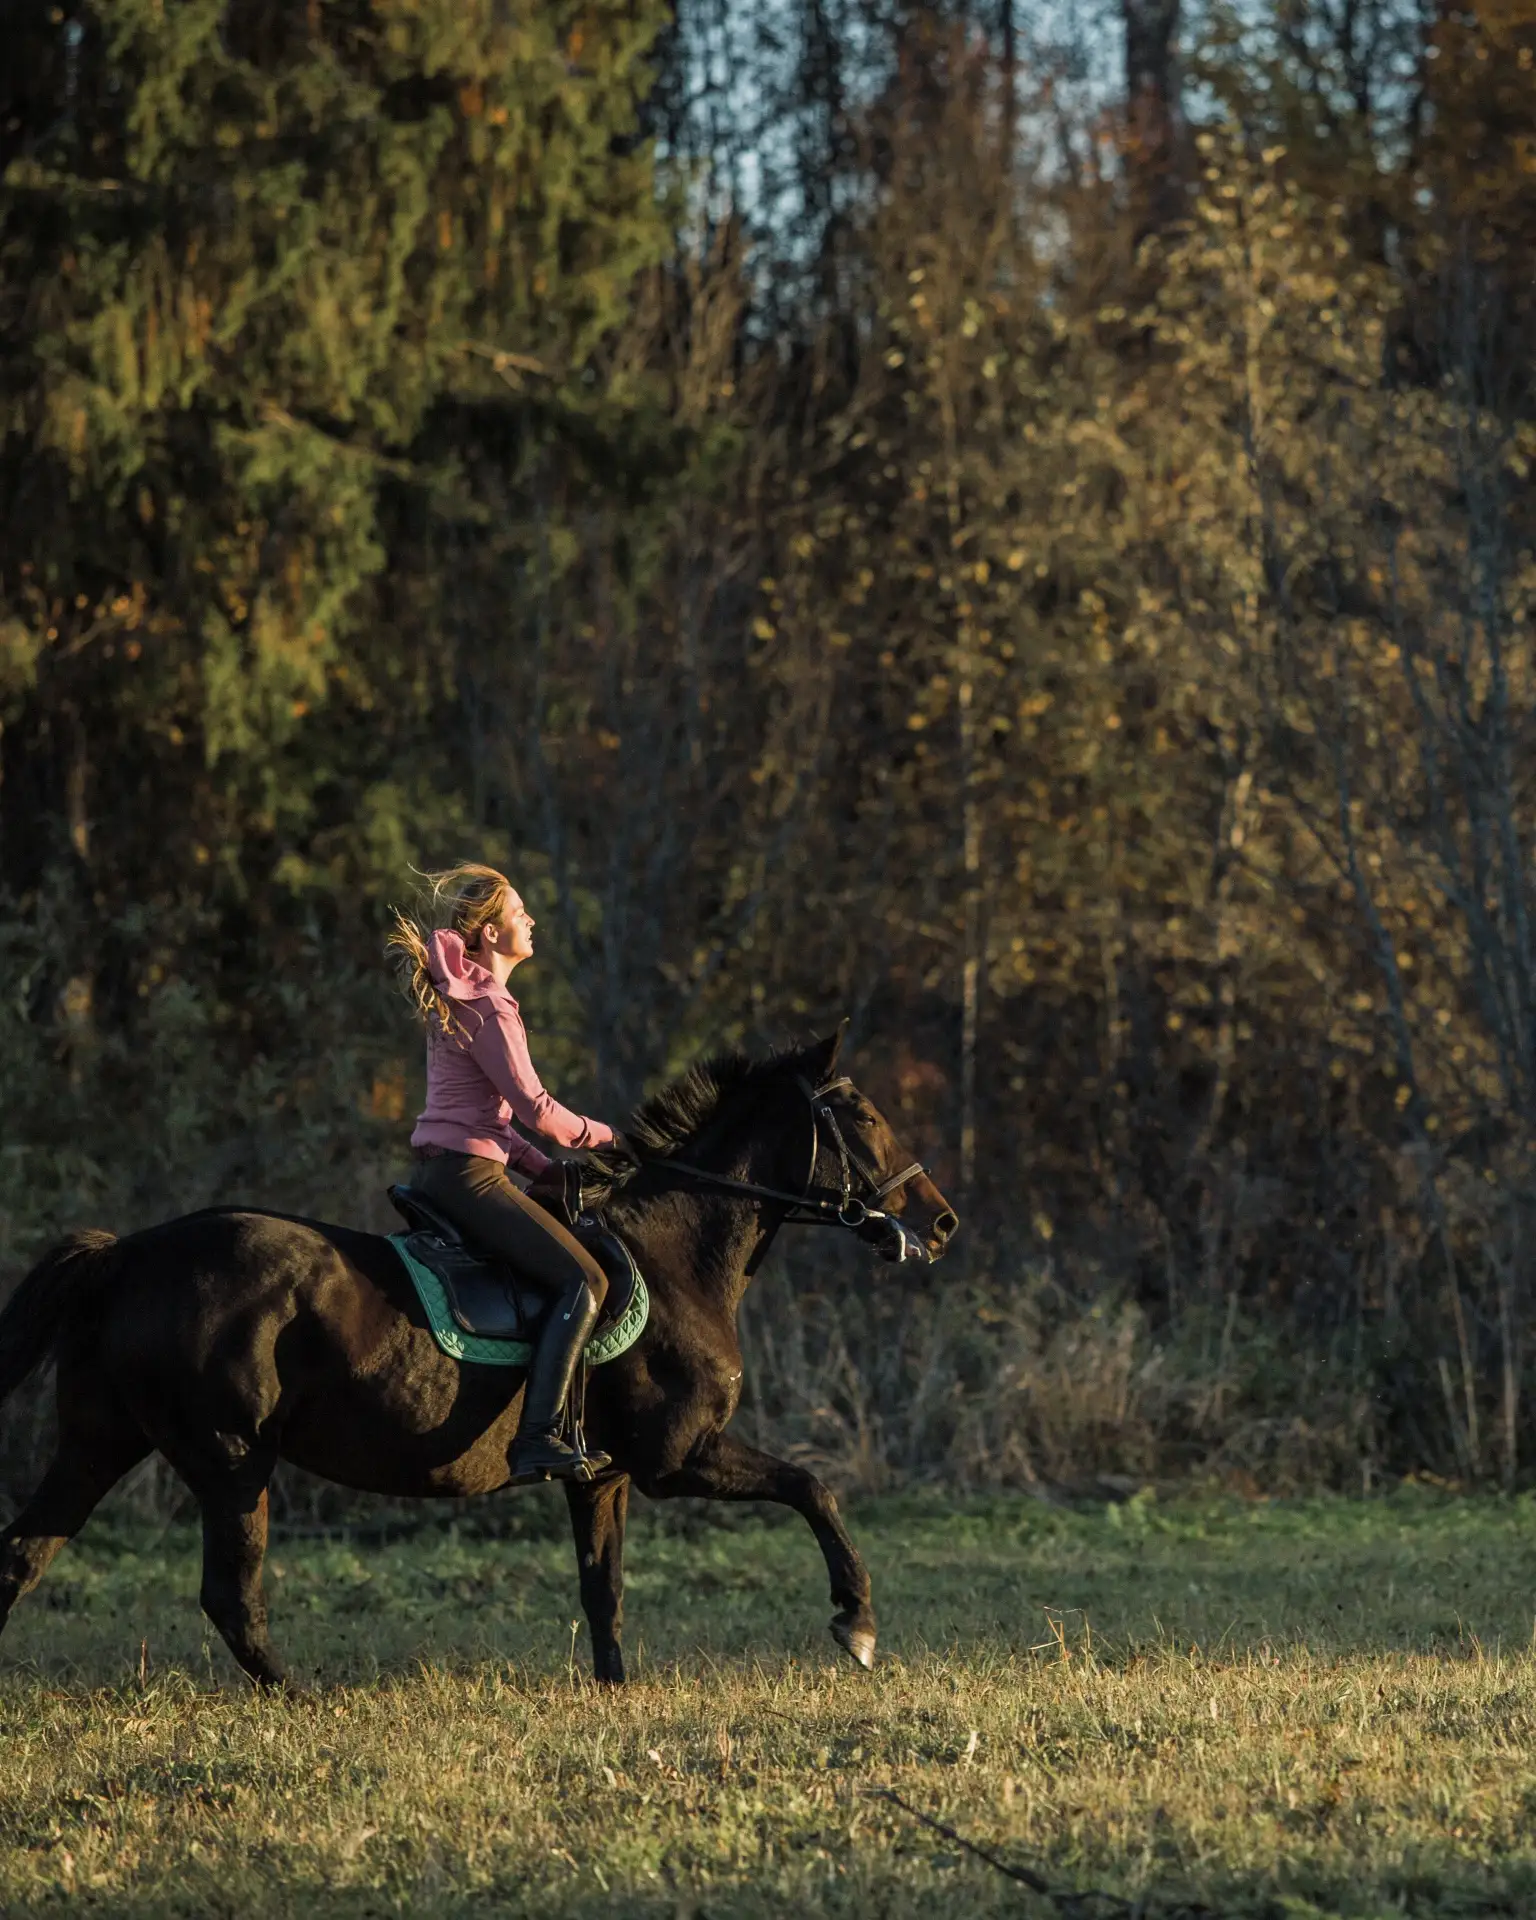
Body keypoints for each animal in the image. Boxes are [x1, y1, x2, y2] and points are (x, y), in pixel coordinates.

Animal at [0, 1030, 957, 1687]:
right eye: (865, 1114)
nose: (940, 1223)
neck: (678, 1255)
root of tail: (128, 1255)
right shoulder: (677, 1457)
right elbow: (814, 1488)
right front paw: (857, 1623)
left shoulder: (605, 1476)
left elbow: (604, 1589)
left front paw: (615, 1691)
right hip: (232, 1459)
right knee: (230, 1595)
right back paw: (301, 1697)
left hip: (100, 1441)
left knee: (23, 1555)